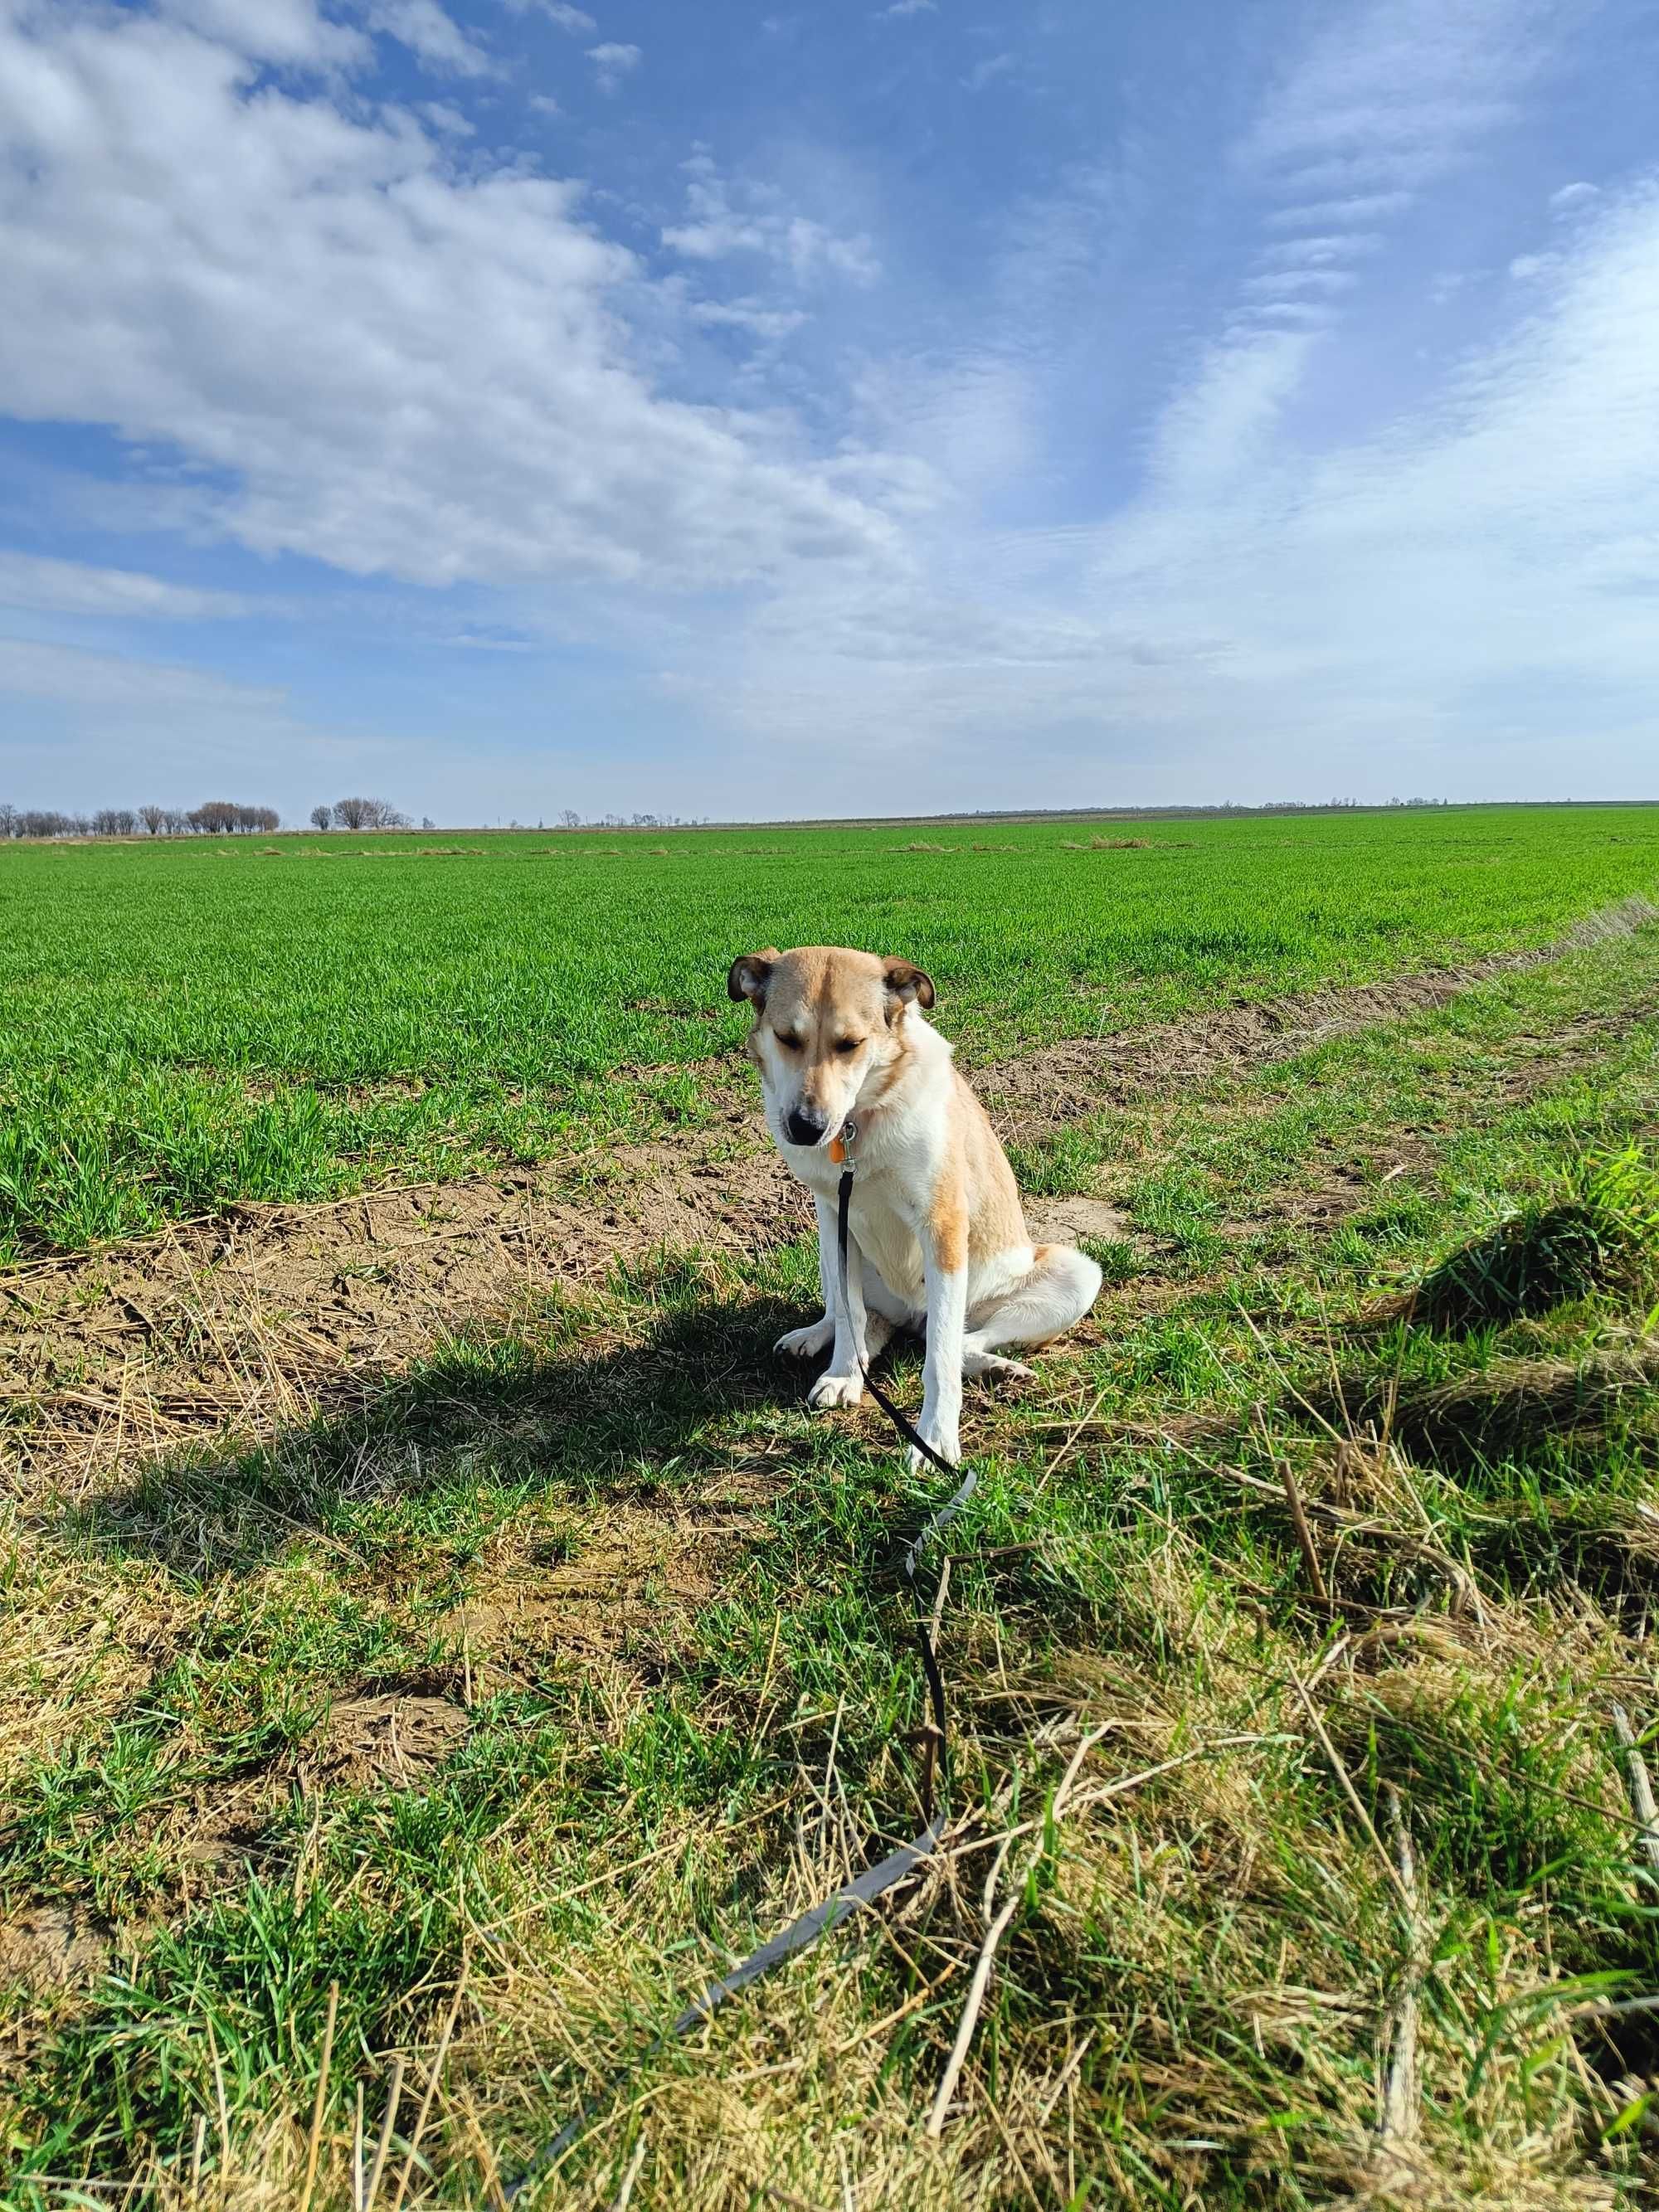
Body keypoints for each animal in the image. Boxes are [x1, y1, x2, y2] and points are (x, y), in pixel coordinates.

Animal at [725, 937, 1106, 1468]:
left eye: (851, 1044)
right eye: (786, 1038)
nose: (805, 1128)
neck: (859, 1123)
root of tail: (910, 1317)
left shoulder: (941, 1225)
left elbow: (940, 1360)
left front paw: (936, 1438)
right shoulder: (835, 1217)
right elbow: (850, 1315)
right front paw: (843, 1375)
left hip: (1073, 1275)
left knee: (957, 1340)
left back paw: (995, 1367)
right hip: (826, 1252)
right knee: (861, 1319)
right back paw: (823, 1340)